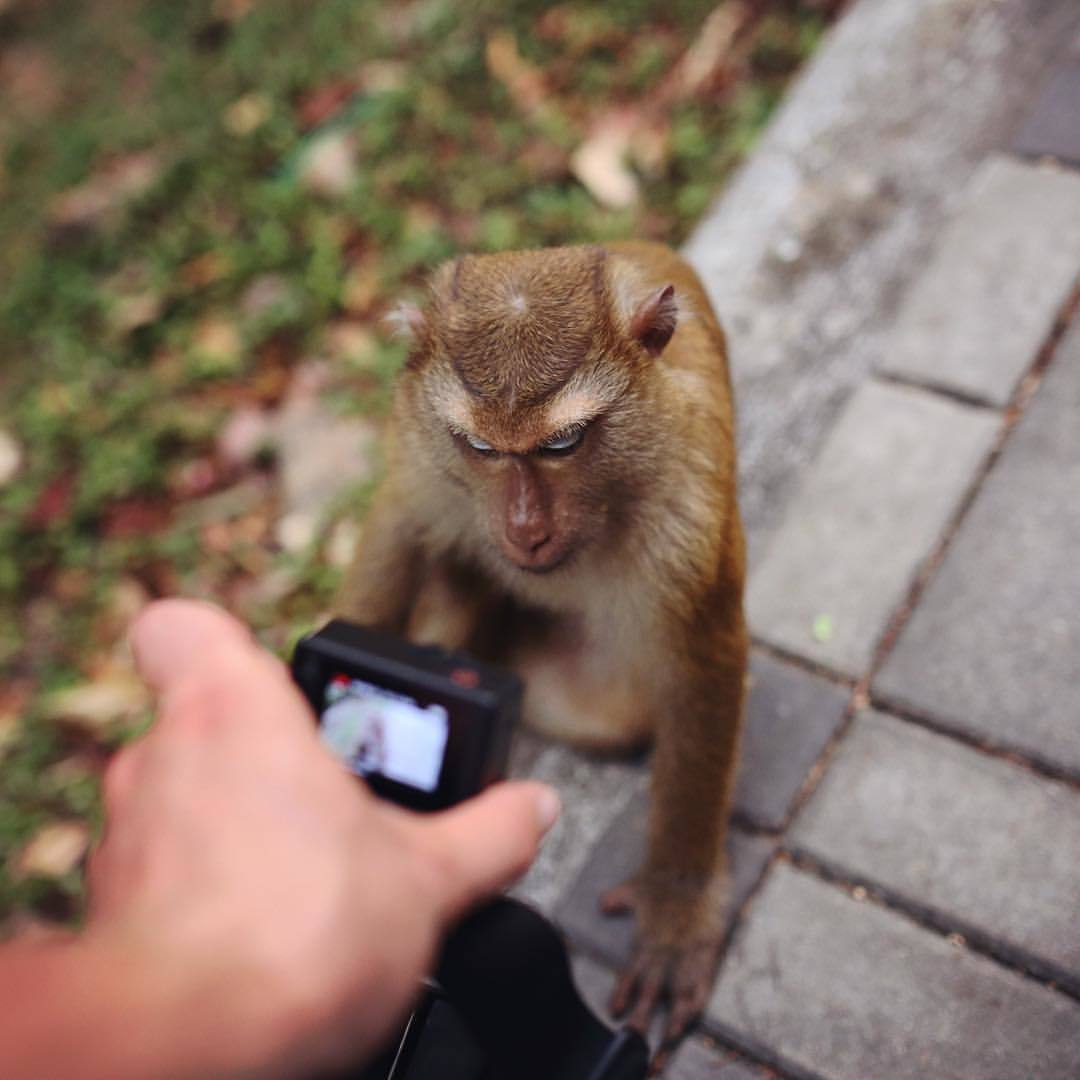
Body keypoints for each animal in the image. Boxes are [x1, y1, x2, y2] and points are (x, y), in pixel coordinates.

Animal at [341, 243, 747, 1054]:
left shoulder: (686, 505)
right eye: (481, 447)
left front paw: (676, 912)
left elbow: (704, 666)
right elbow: (396, 539)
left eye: (562, 443)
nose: (525, 529)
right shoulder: (421, 458)